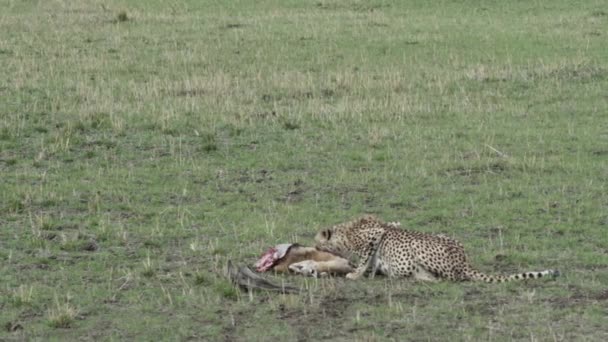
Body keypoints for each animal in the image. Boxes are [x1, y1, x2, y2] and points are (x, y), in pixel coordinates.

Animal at [316, 215, 560, 282]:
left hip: (419, 246)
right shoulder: (391, 224)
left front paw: (356, 274)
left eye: (317, 243)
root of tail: (463, 260)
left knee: (447, 278)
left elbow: (366, 257)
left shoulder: (375, 235)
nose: (316, 247)